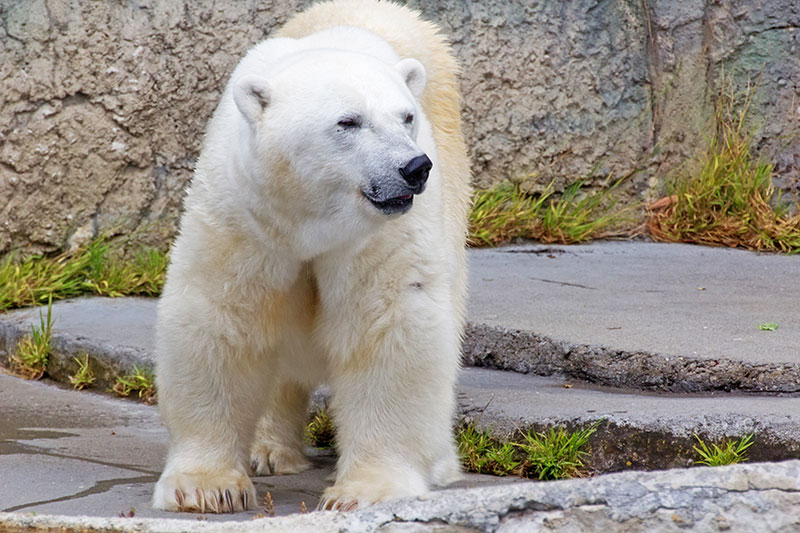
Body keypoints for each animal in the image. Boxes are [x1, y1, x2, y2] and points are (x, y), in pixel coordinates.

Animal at [153, 0, 472, 512]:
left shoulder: (380, 234)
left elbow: (388, 322)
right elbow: (220, 318)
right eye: (348, 121)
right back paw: (267, 449)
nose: (414, 167)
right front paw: (205, 487)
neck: (310, 220)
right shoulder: (244, 216)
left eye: (405, 117)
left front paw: (368, 491)